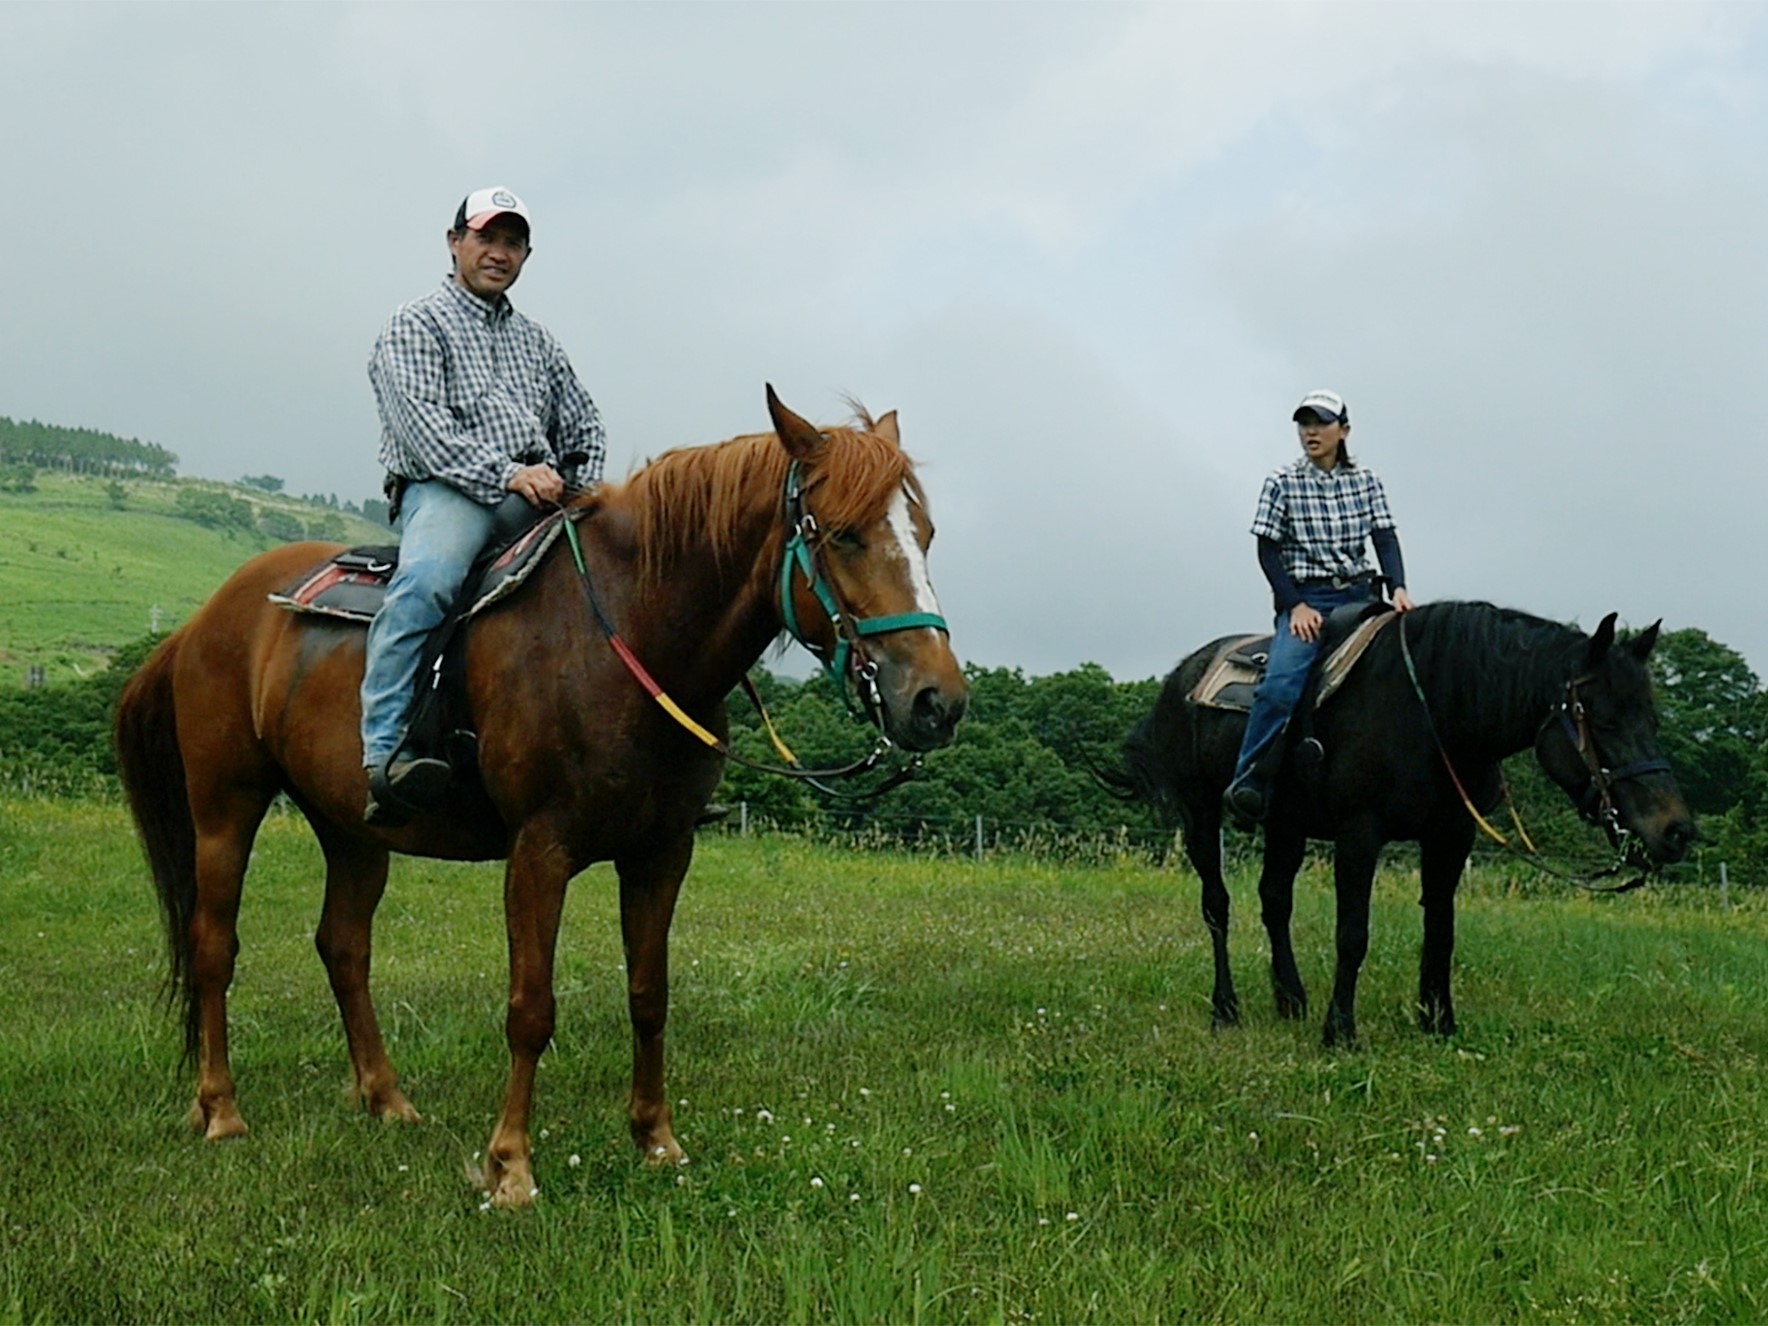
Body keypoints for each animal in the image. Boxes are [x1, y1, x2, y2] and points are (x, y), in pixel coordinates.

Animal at [114, 388, 968, 1209]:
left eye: (924, 533)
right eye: (844, 535)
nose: (938, 703)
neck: (622, 637)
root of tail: (202, 620)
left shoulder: (663, 851)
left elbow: (649, 994)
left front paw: (656, 1139)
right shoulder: (539, 850)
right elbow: (531, 1008)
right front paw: (510, 1167)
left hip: (353, 828)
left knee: (344, 946)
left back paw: (386, 1099)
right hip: (225, 806)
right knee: (213, 946)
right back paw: (221, 1109)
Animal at [1103, 601, 1697, 1046]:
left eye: (1653, 718)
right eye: (1604, 720)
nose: (1677, 831)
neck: (1434, 711)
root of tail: (1182, 673)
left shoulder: (1450, 839)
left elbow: (1441, 932)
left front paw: (1438, 1023)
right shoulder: (1359, 835)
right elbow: (1352, 934)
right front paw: (1340, 1032)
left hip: (1285, 825)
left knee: (1274, 901)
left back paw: (1290, 1000)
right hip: (1201, 813)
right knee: (1217, 905)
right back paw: (1226, 1009)